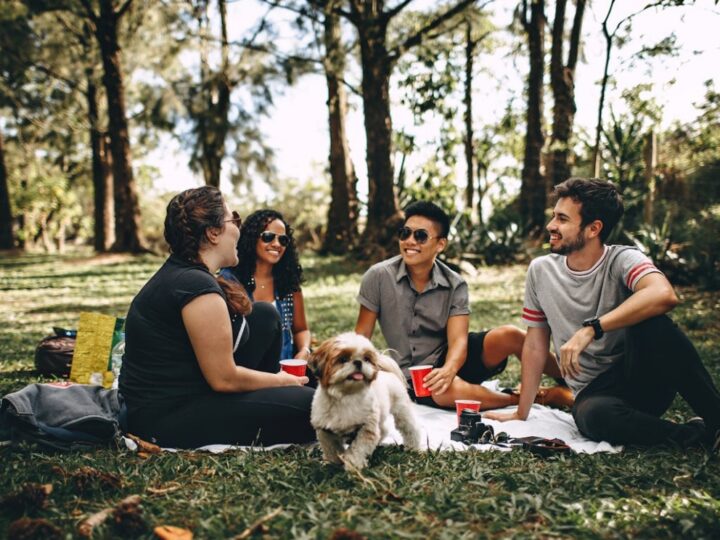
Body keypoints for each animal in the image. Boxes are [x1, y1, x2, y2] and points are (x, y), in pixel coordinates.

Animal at [310, 332, 422, 470]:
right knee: (383, 430)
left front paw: (353, 465)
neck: (346, 396)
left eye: (366, 359)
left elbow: (358, 449)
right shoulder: (325, 430)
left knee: (410, 429)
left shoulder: (366, 428)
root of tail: (387, 372)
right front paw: (333, 463)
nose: (358, 362)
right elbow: (331, 448)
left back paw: (413, 447)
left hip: (401, 410)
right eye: (343, 359)